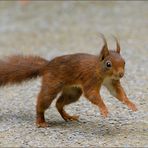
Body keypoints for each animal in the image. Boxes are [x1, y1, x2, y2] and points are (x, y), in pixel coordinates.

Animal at [0, 34, 138, 127]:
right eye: (108, 64)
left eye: (124, 62)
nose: (121, 74)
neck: (100, 71)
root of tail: (47, 66)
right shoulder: (90, 79)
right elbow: (92, 94)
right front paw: (103, 108)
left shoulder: (112, 82)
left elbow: (118, 93)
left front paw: (130, 103)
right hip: (52, 84)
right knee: (43, 101)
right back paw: (40, 121)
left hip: (73, 91)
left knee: (59, 103)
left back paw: (68, 116)